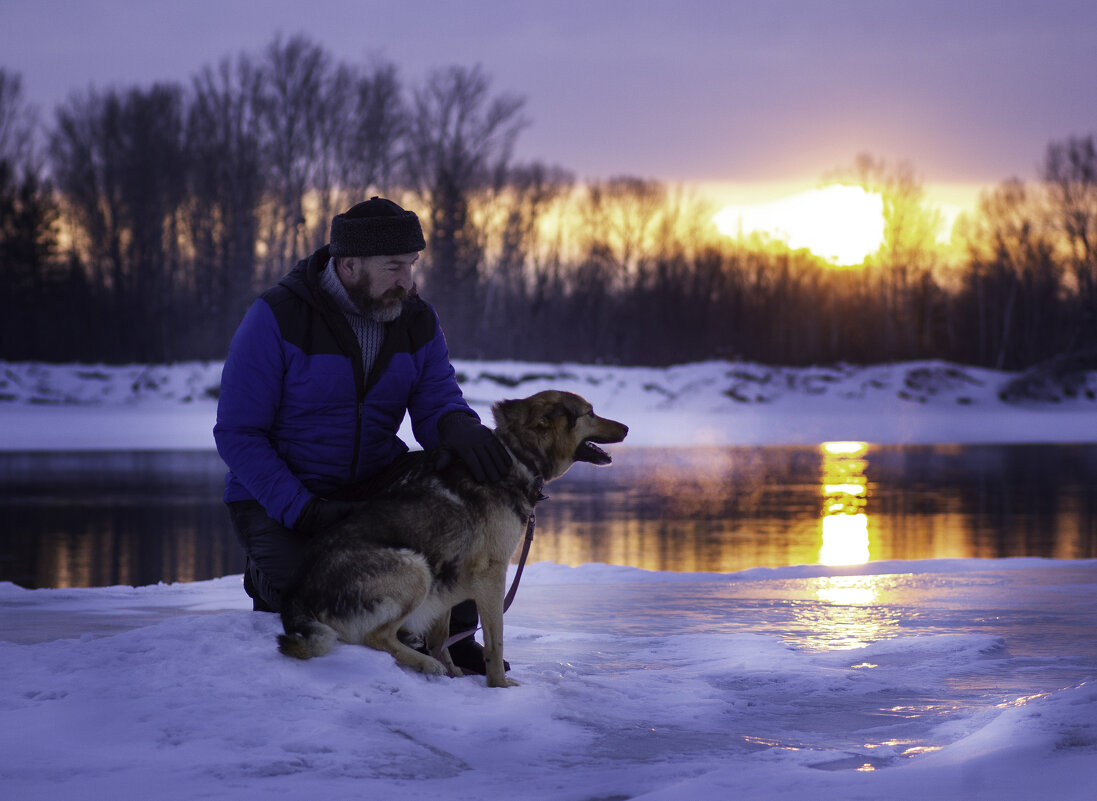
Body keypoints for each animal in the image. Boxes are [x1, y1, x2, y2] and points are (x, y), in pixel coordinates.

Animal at [278, 390, 631, 684]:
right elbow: (495, 642)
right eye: (590, 412)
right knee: (374, 637)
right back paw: (423, 662)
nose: (627, 428)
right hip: (415, 569)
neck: (518, 457)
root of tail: (297, 595)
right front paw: (499, 687)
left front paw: (455, 675)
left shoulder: (451, 580)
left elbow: (441, 635)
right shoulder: (492, 575)